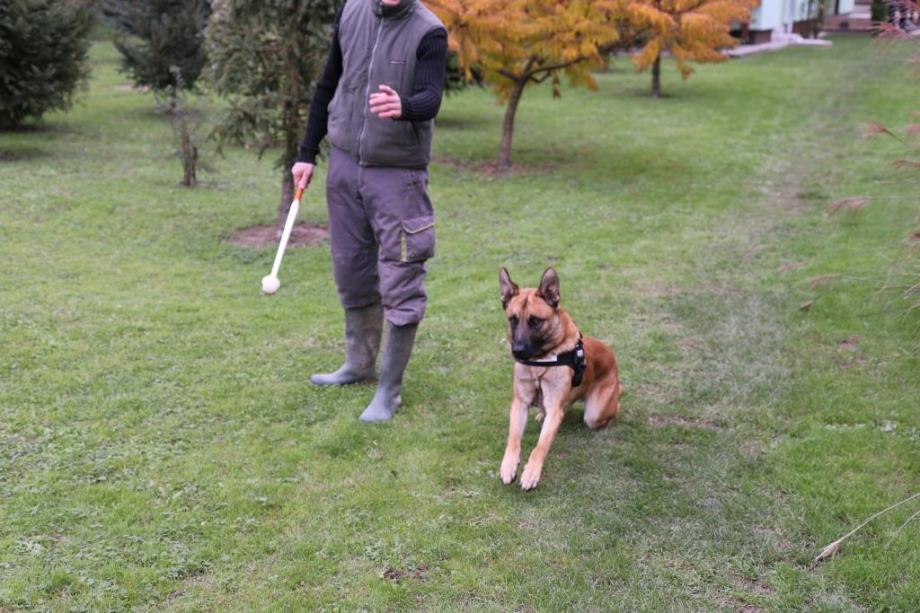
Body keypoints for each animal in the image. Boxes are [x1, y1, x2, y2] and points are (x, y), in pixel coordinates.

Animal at [498, 267, 620, 490]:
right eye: (513, 319)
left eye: (535, 321)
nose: (517, 351)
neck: (540, 361)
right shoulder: (520, 403)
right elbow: (513, 438)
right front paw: (508, 465)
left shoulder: (555, 408)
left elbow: (541, 446)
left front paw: (531, 473)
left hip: (596, 413)